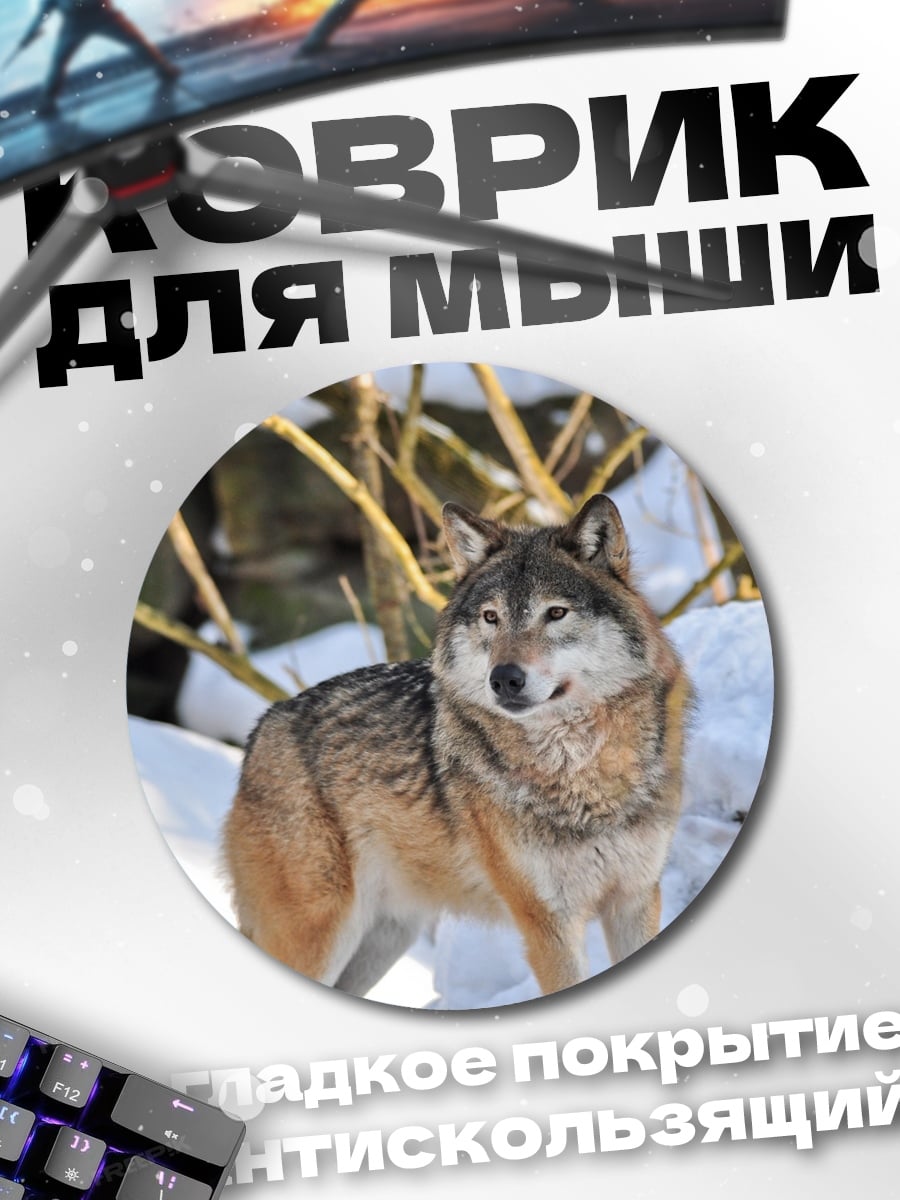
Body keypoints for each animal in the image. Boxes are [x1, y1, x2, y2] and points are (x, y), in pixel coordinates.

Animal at [223, 494, 691, 999]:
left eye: (556, 613)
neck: (580, 775)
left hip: (381, 939)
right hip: (321, 935)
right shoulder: (547, 923)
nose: (504, 678)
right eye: (491, 617)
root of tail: (263, 726)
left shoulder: (635, 899)